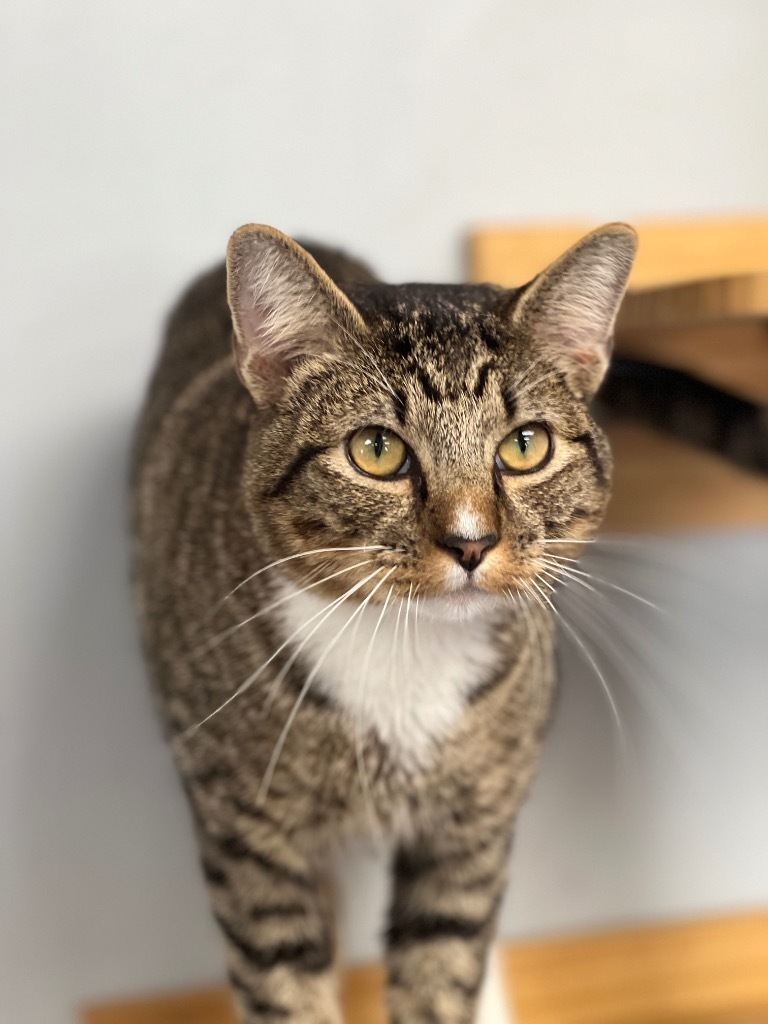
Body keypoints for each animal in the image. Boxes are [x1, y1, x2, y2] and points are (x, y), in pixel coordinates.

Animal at [131, 220, 638, 1019]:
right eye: (376, 451)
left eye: (526, 445)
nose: (471, 542)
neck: (405, 653)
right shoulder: (249, 841)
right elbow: (283, 982)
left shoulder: (471, 835)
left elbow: (443, 970)